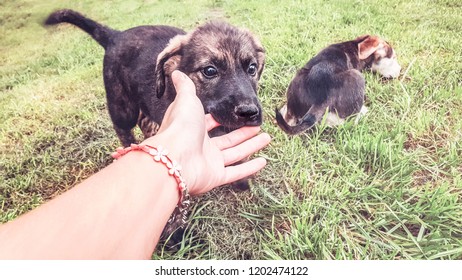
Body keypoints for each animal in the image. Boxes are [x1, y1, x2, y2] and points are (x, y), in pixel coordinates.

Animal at [46, 10, 268, 190]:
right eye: (210, 71)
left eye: (252, 68)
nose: (249, 113)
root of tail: (115, 35)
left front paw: (241, 181)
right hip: (122, 106)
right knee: (123, 128)